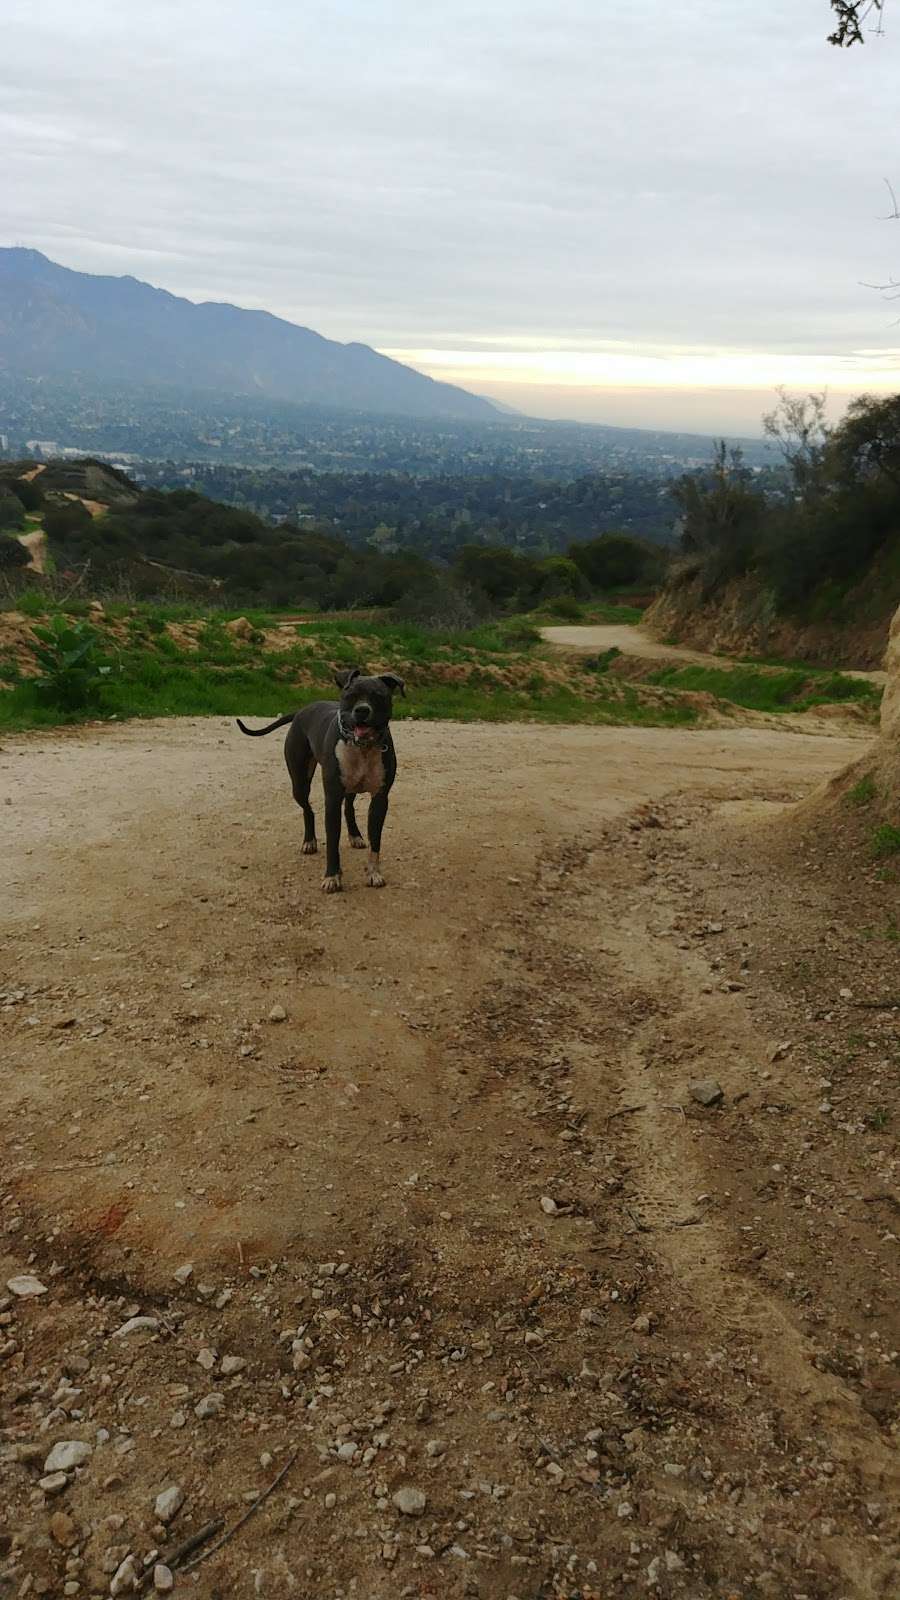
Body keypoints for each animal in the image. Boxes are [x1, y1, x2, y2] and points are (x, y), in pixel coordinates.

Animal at [238, 668, 406, 896]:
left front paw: (373, 873)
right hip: (300, 783)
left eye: (379, 696)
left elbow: (376, 840)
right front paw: (332, 877)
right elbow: (332, 842)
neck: (362, 747)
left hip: (349, 787)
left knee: (349, 808)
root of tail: (302, 710)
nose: (362, 710)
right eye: (349, 695)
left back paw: (355, 835)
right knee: (308, 810)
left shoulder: (380, 800)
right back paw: (309, 841)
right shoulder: (332, 799)